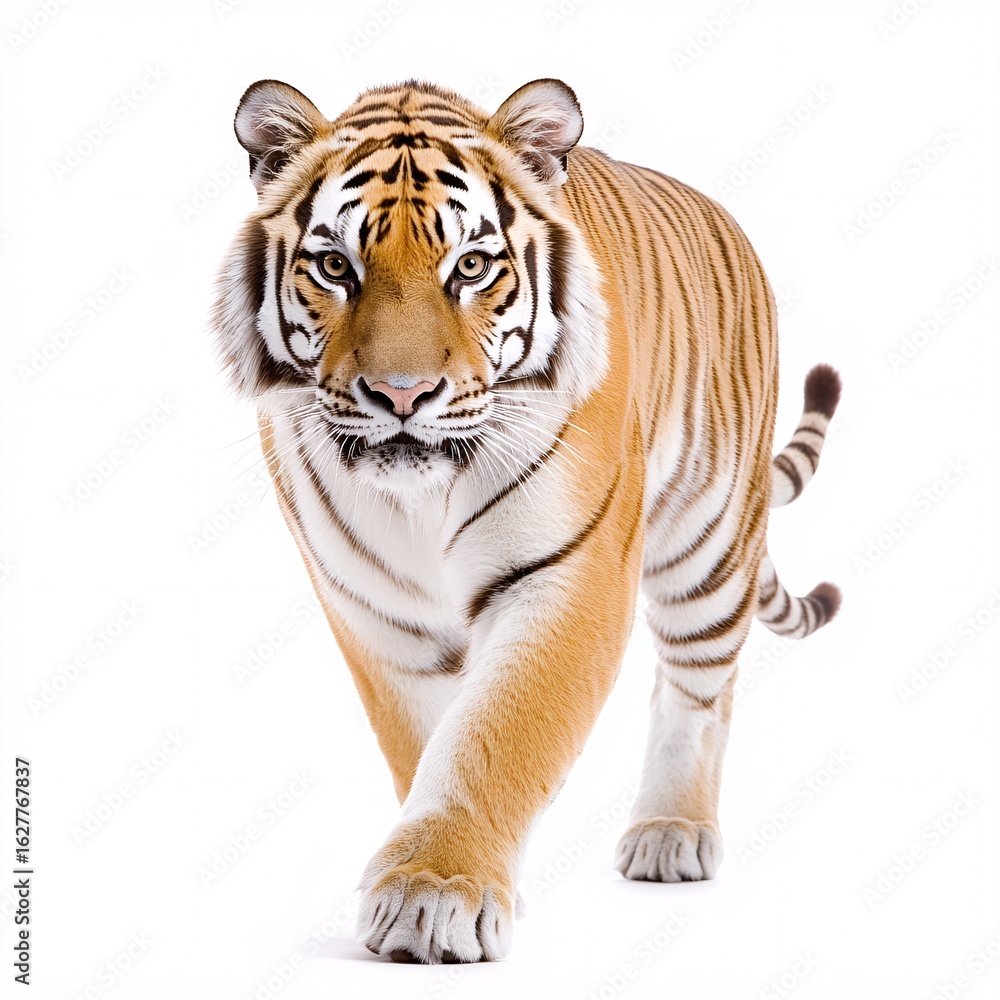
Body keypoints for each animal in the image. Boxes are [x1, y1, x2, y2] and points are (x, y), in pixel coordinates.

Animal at [212, 77, 842, 964]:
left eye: (471, 267)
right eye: (336, 266)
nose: (402, 395)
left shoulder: (569, 574)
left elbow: (500, 734)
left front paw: (433, 892)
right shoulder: (377, 609)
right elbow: (431, 740)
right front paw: (454, 875)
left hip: (711, 542)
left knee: (699, 686)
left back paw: (672, 832)